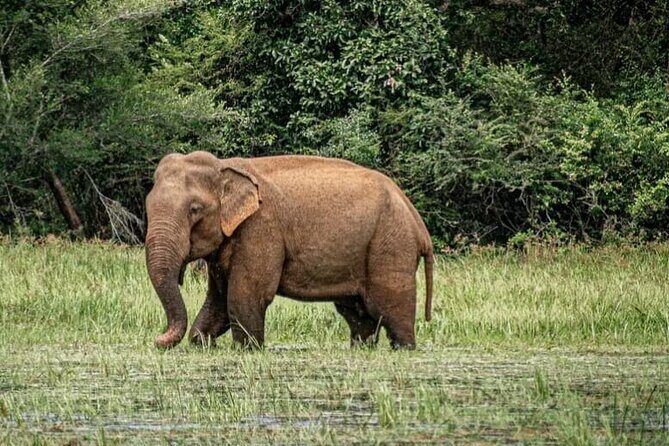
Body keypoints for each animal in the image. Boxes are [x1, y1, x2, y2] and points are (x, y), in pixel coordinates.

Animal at [145, 151, 433, 350]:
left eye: (194, 210)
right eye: (147, 206)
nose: (157, 338)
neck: (225, 166)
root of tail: (417, 222)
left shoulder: (261, 228)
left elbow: (246, 294)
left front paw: (248, 349)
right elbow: (219, 299)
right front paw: (202, 342)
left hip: (392, 244)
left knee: (391, 306)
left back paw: (404, 347)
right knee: (357, 312)